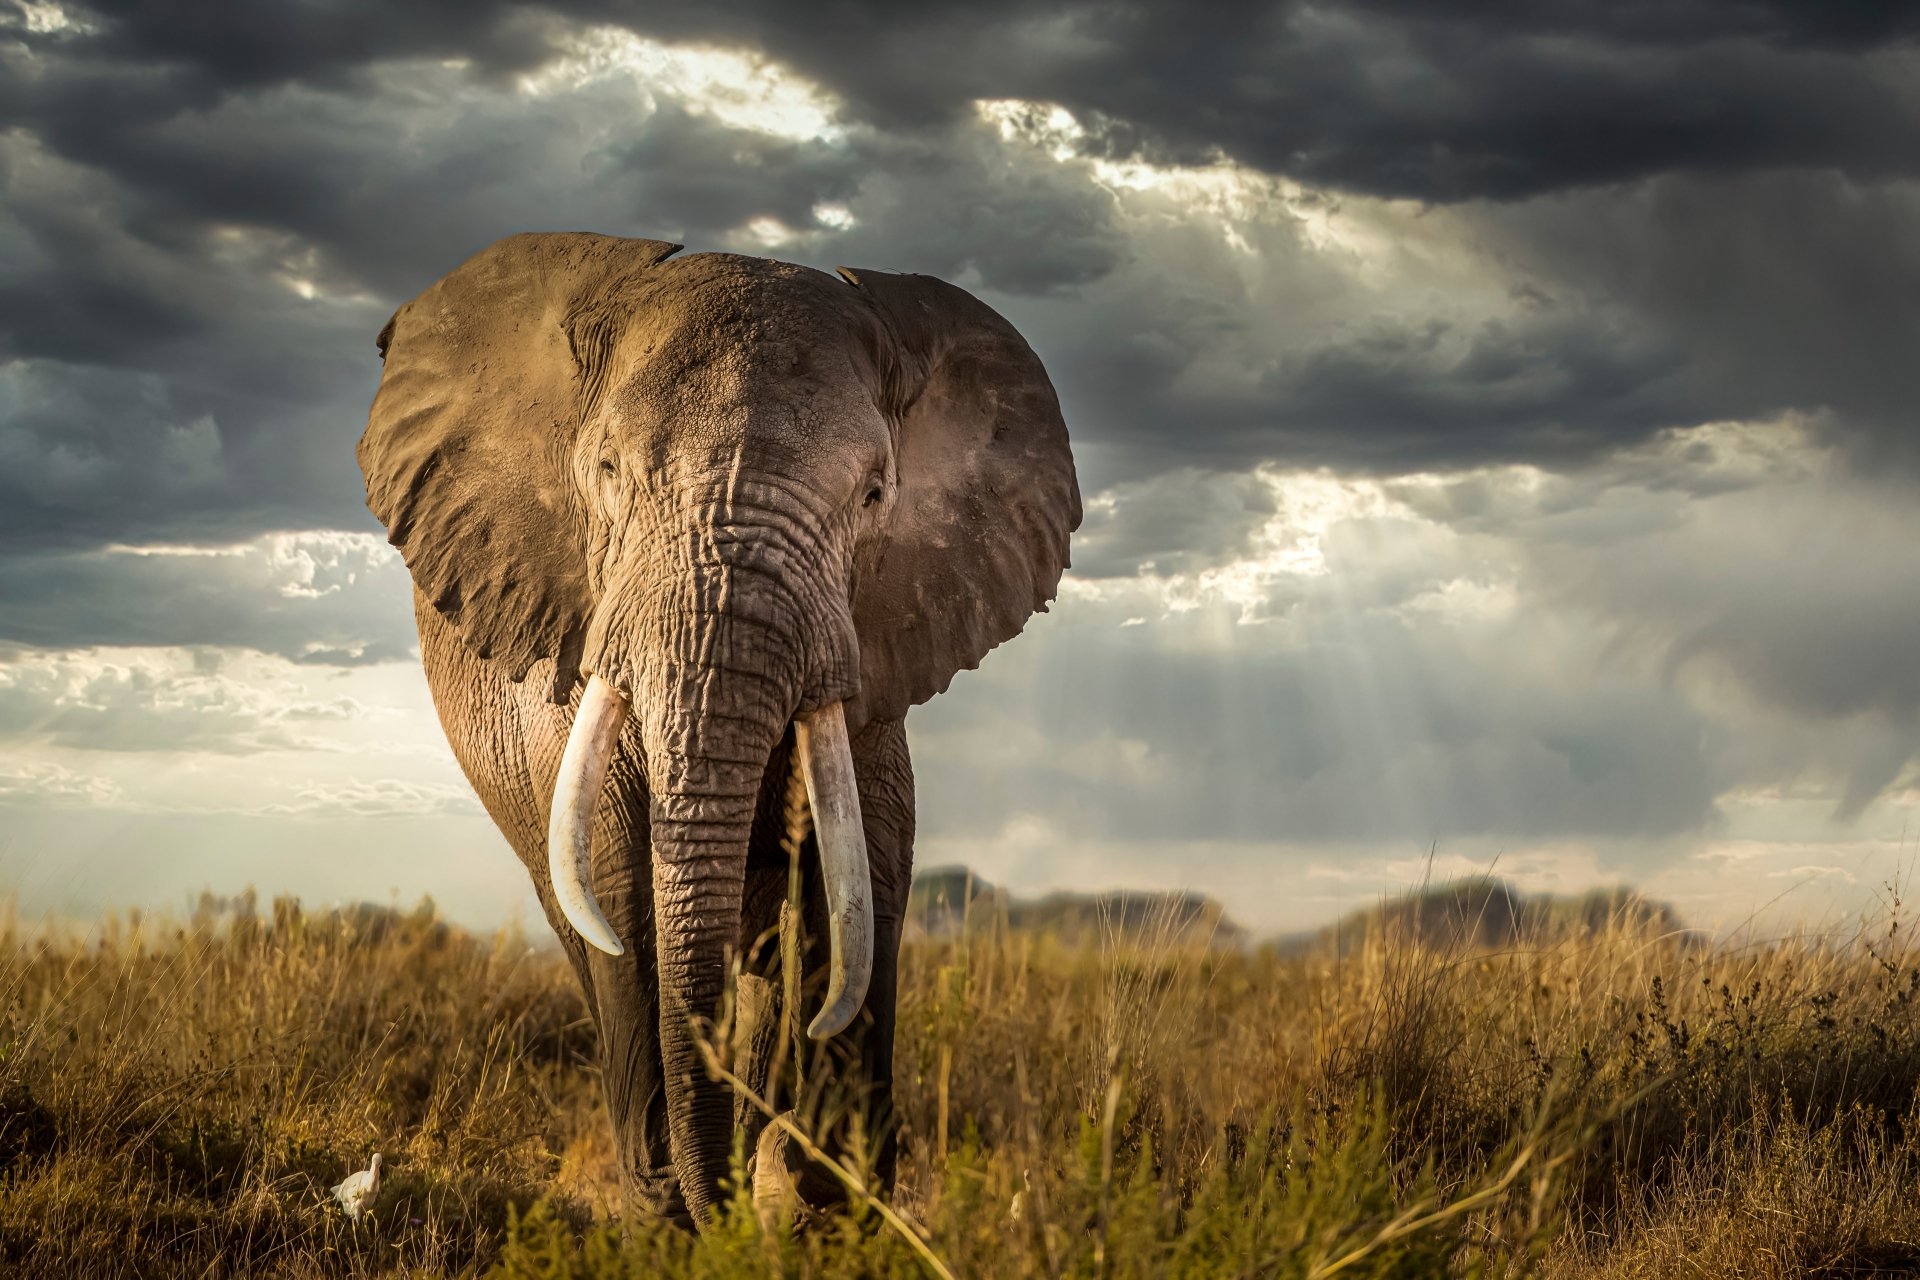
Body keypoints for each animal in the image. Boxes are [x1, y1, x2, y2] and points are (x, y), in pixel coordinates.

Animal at [356, 232, 1079, 1226]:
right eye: (607, 472)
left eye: (874, 493)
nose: (717, 1206)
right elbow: (621, 886)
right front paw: (684, 1209)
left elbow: (864, 873)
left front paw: (824, 1196)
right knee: (584, 923)